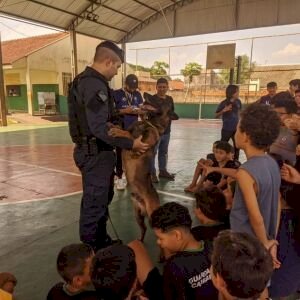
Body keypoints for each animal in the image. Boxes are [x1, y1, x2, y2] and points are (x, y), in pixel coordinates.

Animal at [108, 92, 177, 240]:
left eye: (159, 100)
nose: (145, 93)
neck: (150, 123)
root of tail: (142, 205)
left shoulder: (138, 145)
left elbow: (128, 135)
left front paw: (116, 131)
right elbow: (125, 130)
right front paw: (114, 126)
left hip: (151, 217)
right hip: (137, 215)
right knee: (144, 228)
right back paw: (139, 240)